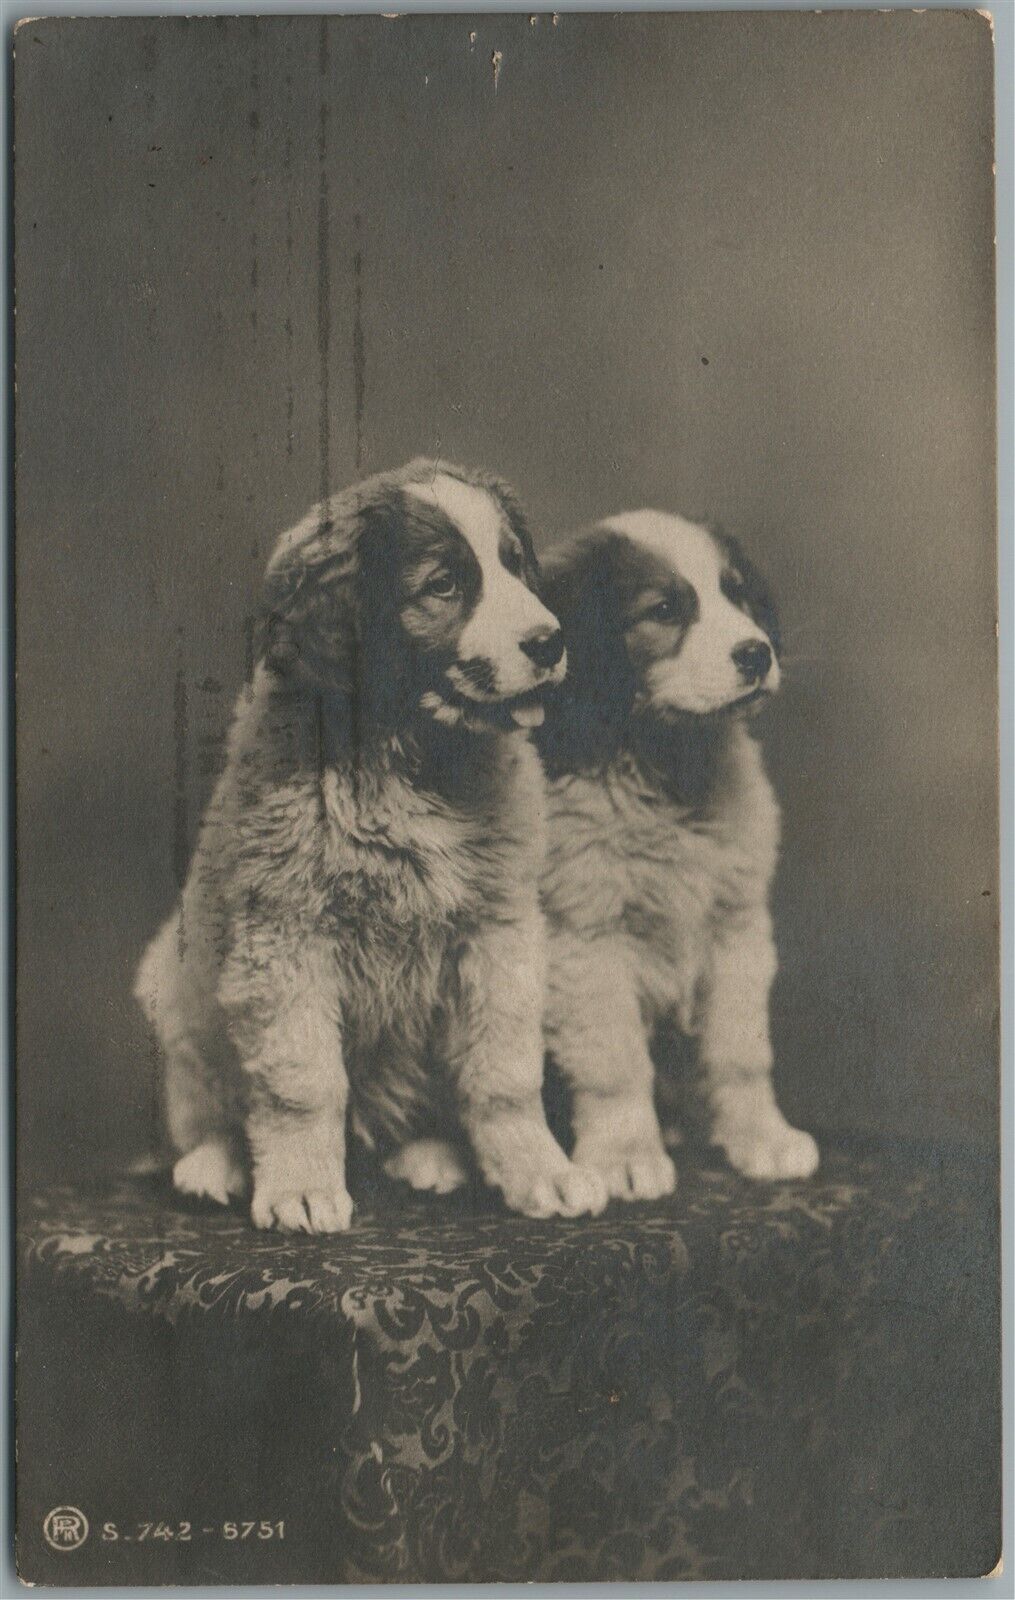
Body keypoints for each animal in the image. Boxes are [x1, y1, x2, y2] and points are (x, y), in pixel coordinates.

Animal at [132, 457, 601, 1228]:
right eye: (443, 586)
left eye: (513, 565)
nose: (550, 642)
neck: (409, 759)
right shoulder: (283, 935)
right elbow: (302, 1082)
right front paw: (299, 1184)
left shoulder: (498, 930)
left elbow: (504, 1071)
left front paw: (540, 1169)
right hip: (174, 986)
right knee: (207, 1101)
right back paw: (214, 1161)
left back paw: (430, 1152)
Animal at [534, 505, 819, 1196]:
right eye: (664, 609)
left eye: (735, 593)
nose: (757, 652)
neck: (669, 772)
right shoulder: (586, 941)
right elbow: (615, 1063)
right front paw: (624, 1155)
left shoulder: (736, 929)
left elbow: (740, 1053)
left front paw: (762, 1138)